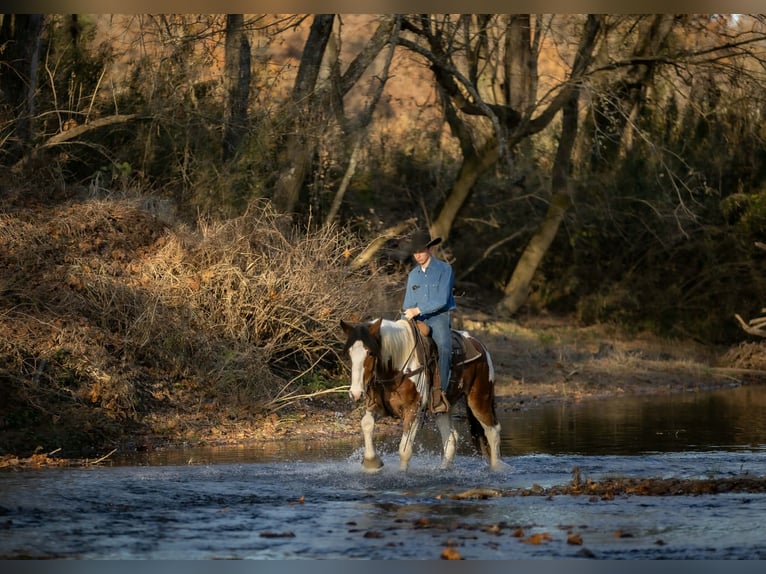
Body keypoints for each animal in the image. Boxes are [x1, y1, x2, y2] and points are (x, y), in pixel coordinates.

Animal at [340, 317, 502, 472]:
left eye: (370, 353)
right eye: (349, 353)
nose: (355, 393)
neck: (398, 367)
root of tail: (480, 346)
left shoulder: (413, 410)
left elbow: (404, 450)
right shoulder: (379, 407)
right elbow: (366, 423)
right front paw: (372, 462)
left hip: (479, 399)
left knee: (492, 431)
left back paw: (497, 469)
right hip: (443, 409)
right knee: (451, 437)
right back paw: (443, 470)